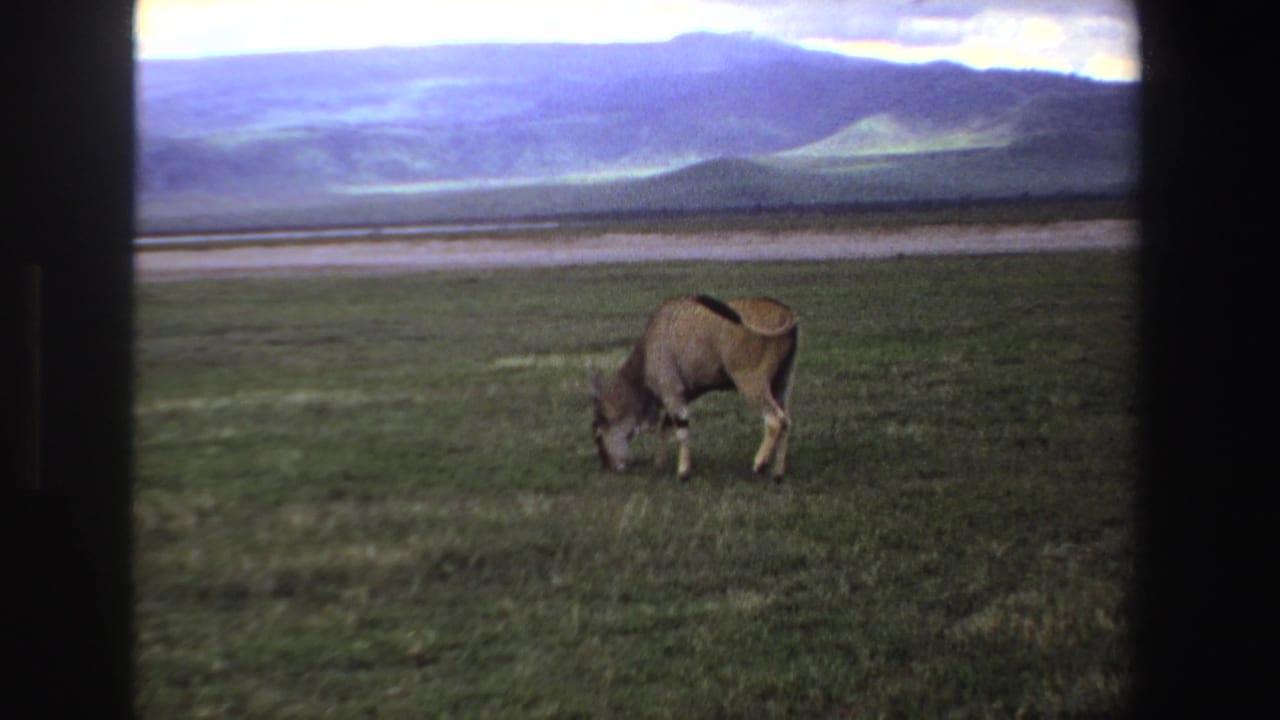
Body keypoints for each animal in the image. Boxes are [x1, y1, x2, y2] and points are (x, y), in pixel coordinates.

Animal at [591, 295, 799, 481]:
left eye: (598, 436)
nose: (610, 466)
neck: (646, 353)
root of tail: (786, 311)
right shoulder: (680, 396)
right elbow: (666, 426)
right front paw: (660, 465)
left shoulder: (672, 392)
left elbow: (681, 429)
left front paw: (683, 472)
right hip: (782, 383)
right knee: (786, 420)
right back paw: (778, 474)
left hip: (751, 383)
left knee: (775, 419)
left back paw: (760, 464)